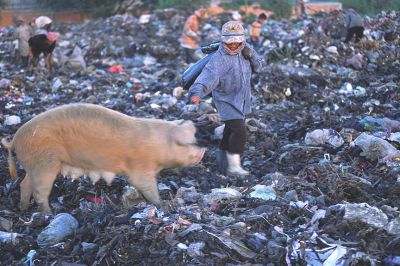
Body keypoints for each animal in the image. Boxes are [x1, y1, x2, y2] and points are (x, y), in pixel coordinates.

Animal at [3, 103, 208, 212]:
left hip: (34, 165)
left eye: (193, 138)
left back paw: (23, 208)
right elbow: (147, 187)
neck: (158, 144)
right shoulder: (139, 168)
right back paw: (49, 214)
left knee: (25, 184)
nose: (203, 151)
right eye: (183, 143)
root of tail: (15, 140)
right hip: (45, 162)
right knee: (40, 191)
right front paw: (163, 204)